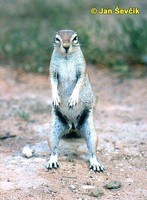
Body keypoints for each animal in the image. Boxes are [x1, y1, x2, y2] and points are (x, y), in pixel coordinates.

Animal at [46, 29, 104, 172]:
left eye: (75, 38)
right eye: (57, 39)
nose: (66, 47)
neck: (66, 58)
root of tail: (72, 125)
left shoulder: (82, 69)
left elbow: (79, 83)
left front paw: (73, 99)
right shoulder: (52, 69)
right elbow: (52, 82)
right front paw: (55, 97)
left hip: (91, 132)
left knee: (92, 152)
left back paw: (96, 164)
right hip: (53, 130)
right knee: (54, 150)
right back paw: (52, 161)